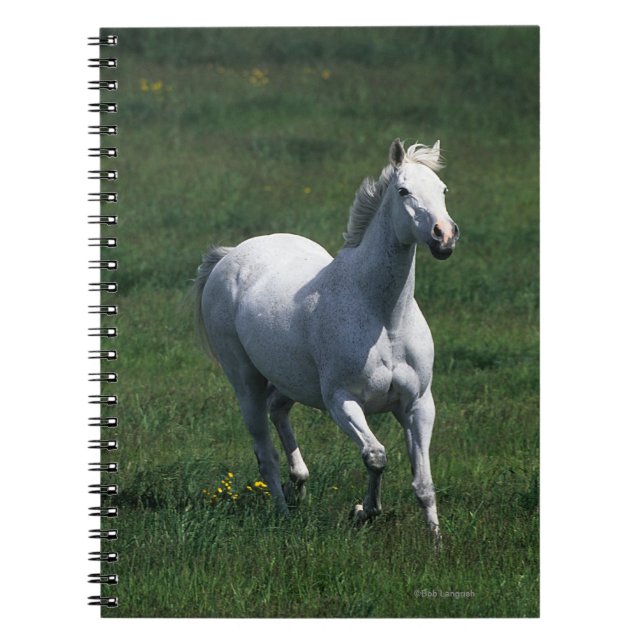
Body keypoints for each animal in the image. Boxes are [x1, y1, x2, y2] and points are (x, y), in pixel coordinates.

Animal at [194, 139, 459, 541]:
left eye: (443, 190)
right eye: (403, 191)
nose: (444, 236)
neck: (384, 317)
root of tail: (229, 255)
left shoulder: (418, 405)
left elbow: (423, 483)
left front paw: (436, 542)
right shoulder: (342, 401)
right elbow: (376, 456)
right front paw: (364, 512)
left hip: (291, 380)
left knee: (278, 410)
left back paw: (299, 485)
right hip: (245, 382)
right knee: (265, 453)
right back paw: (283, 512)